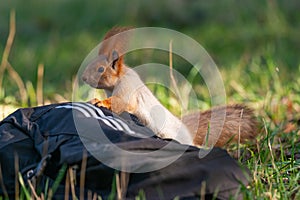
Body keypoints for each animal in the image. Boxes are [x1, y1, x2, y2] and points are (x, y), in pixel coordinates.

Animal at [81, 27, 258, 147]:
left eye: (100, 69)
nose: (83, 77)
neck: (117, 81)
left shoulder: (127, 89)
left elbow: (121, 103)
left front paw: (101, 102)